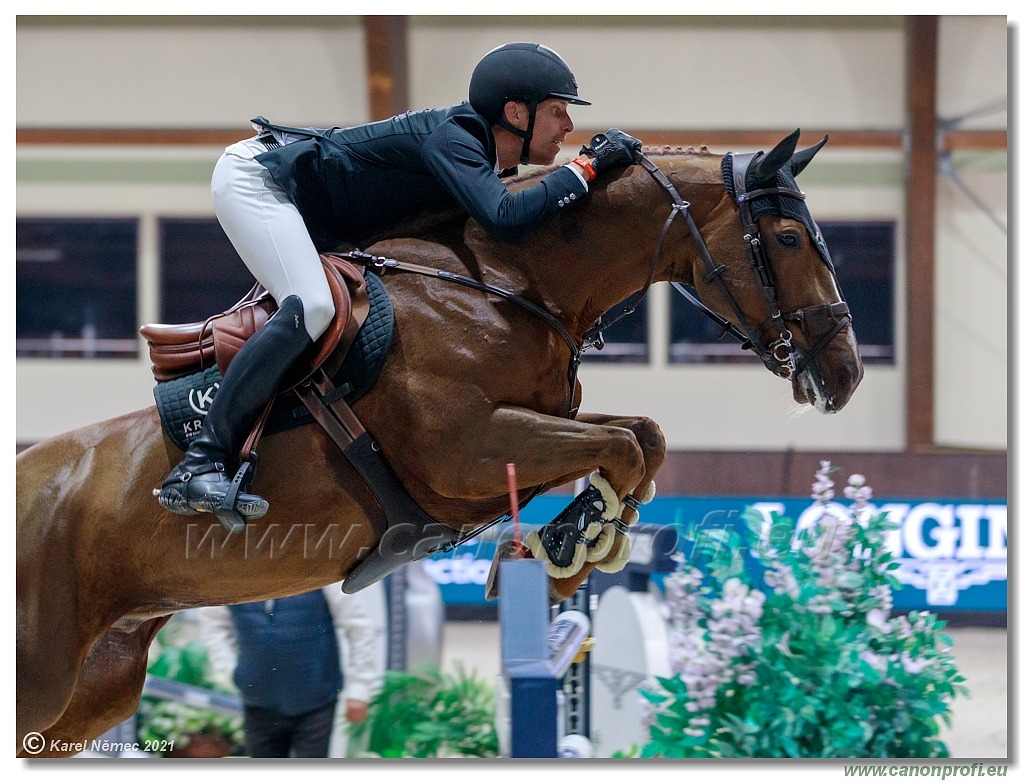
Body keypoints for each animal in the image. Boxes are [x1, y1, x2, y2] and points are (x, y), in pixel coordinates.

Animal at [18, 131, 864, 753]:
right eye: (790, 237)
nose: (845, 374)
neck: (513, 286)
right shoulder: (466, 450)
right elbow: (623, 449)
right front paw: (564, 553)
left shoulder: (528, 430)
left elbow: (639, 438)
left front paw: (569, 546)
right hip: (44, 672)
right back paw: (202, 479)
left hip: (96, 685)